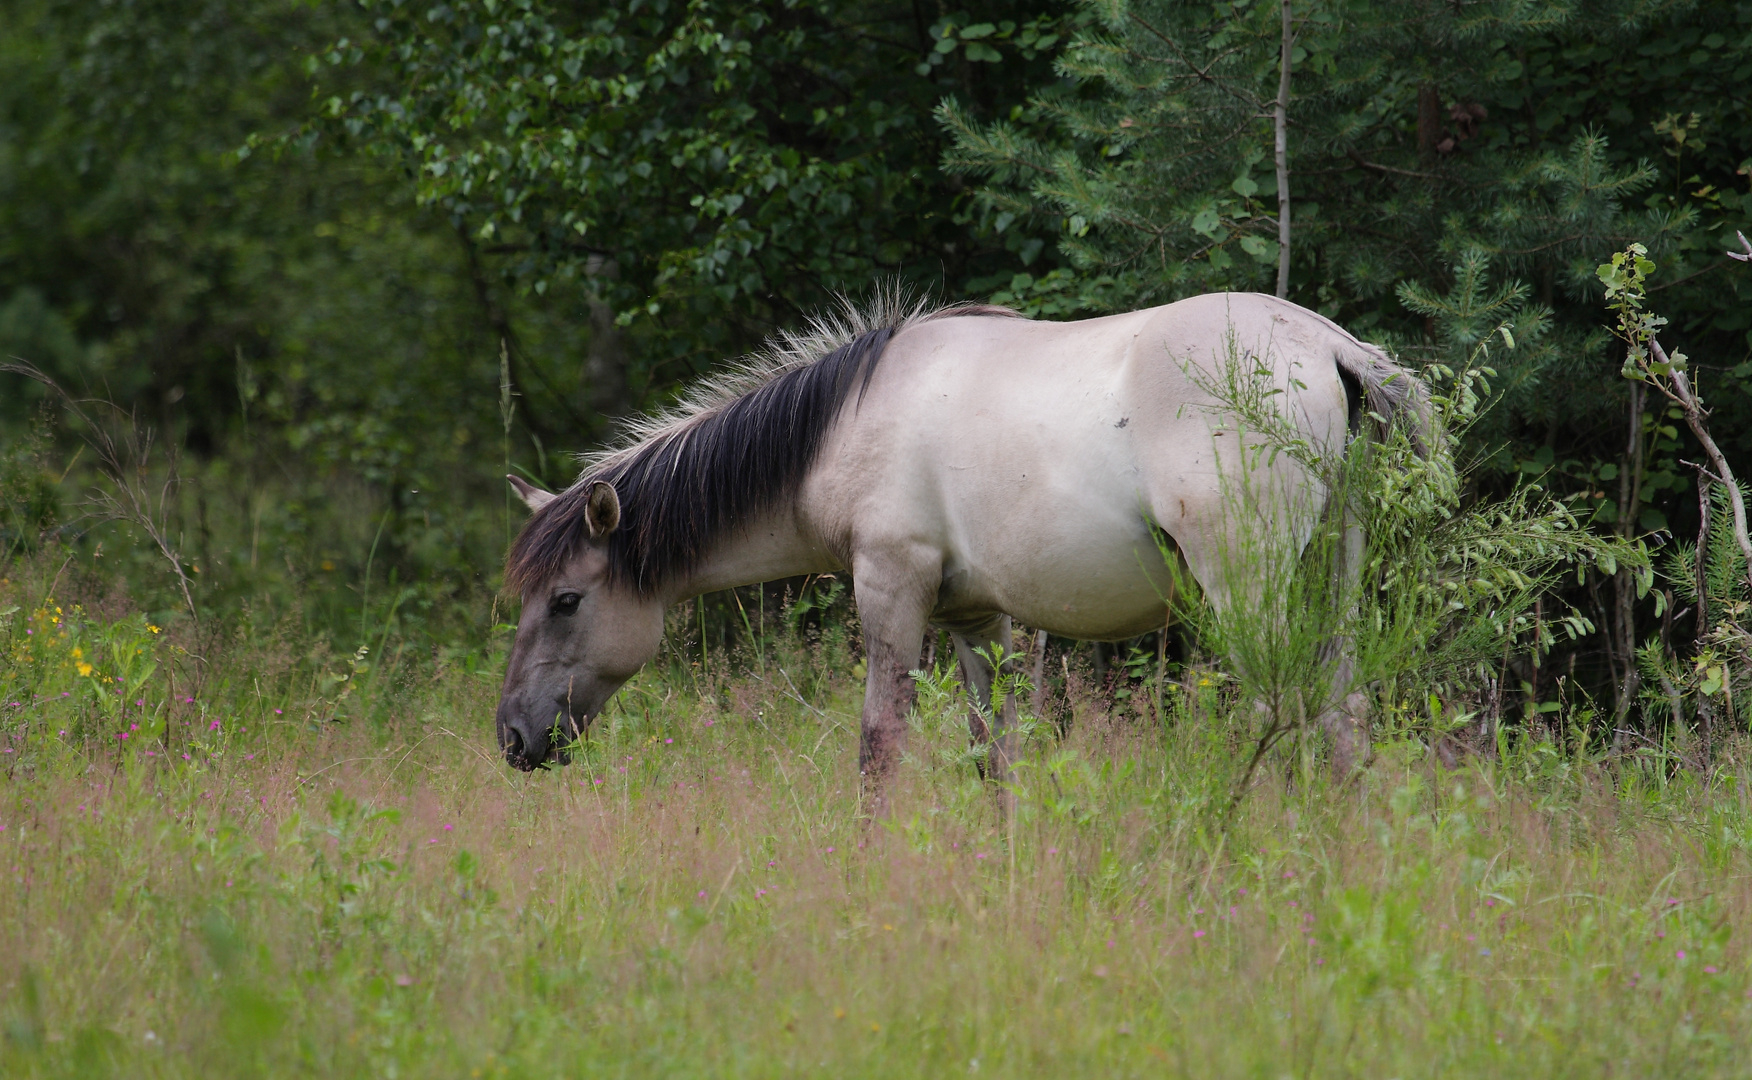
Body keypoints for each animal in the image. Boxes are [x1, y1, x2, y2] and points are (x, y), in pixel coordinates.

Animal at [490, 291, 1422, 806]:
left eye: (567, 601)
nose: (512, 740)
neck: (846, 424)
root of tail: (1331, 346)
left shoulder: (891, 589)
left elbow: (879, 748)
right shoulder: (979, 620)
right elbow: (993, 754)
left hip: (1248, 587)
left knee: (1280, 709)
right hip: (1329, 573)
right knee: (1343, 712)